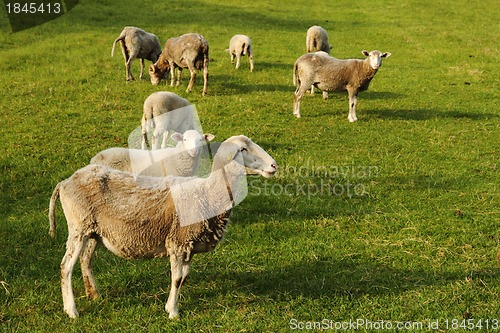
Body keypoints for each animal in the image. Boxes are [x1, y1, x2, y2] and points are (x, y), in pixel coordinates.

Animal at [48, 135, 280, 320]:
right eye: (243, 149)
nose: (274, 166)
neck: (207, 193)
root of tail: (65, 181)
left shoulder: (189, 245)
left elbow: (183, 278)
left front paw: (171, 306)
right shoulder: (177, 241)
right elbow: (176, 279)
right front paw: (173, 313)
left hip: (93, 232)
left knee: (85, 260)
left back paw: (94, 295)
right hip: (78, 227)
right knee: (66, 267)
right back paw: (71, 310)